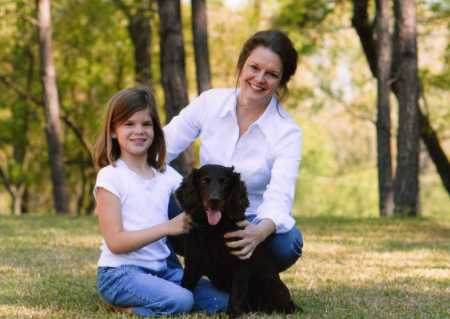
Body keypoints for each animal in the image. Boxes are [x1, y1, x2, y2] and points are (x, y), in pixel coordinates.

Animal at [175, 165, 298, 318]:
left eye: (225, 182)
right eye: (204, 181)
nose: (214, 200)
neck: (213, 230)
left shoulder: (240, 264)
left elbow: (236, 294)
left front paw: (232, 313)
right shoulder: (193, 262)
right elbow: (186, 287)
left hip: (268, 282)